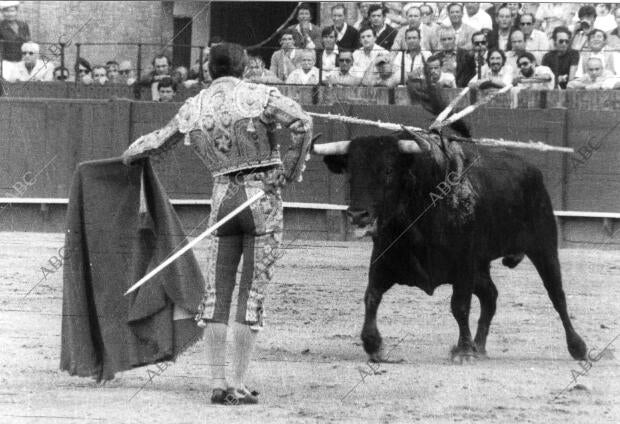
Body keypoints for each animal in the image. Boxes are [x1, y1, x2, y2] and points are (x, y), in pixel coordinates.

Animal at [314, 125, 588, 362]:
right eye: (351, 174)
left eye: (388, 171)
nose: (358, 215)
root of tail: (532, 170)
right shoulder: (383, 258)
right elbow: (371, 296)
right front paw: (373, 345)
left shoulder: (463, 264)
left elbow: (460, 306)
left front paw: (463, 351)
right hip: (482, 266)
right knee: (490, 295)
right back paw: (480, 346)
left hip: (543, 246)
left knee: (556, 295)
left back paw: (578, 347)